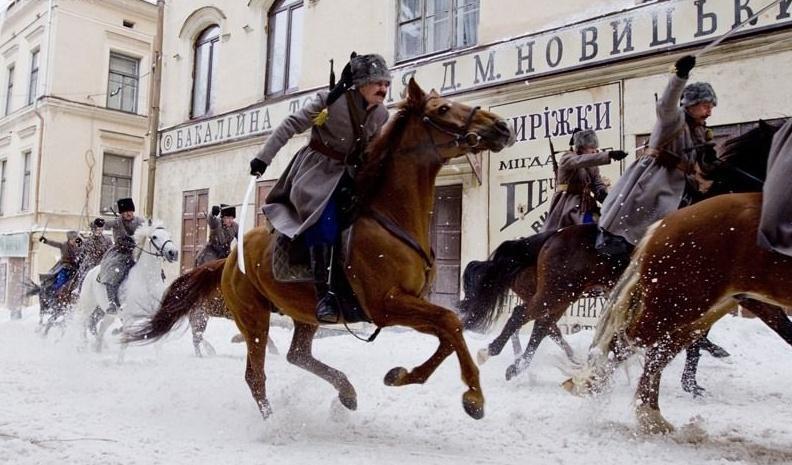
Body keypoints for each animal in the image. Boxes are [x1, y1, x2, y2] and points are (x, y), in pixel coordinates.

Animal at [75, 219, 178, 358]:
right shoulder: (129, 318)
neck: (147, 281)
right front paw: (119, 361)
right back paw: (82, 346)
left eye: (170, 236)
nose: (173, 253)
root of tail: (91, 271)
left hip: (109, 314)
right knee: (83, 322)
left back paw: (98, 348)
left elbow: (158, 343)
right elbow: (124, 343)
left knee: (101, 327)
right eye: (154, 237)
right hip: (88, 306)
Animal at [127, 78, 516, 418]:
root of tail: (227, 261)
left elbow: (449, 330)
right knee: (256, 375)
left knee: (297, 355)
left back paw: (346, 392)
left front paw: (401, 376)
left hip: (304, 313)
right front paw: (474, 396)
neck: (390, 215)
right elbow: (450, 322)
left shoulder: (409, 303)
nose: (500, 127)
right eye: (443, 108)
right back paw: (275, 423)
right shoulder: (387, 306)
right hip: (254, 318)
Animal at [564, 191, 792, 432]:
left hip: (696, 309)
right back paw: (595, 388)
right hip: (680, 304)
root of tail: (662, 226)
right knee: (626, 342)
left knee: (659, 351)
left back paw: (650, 416)